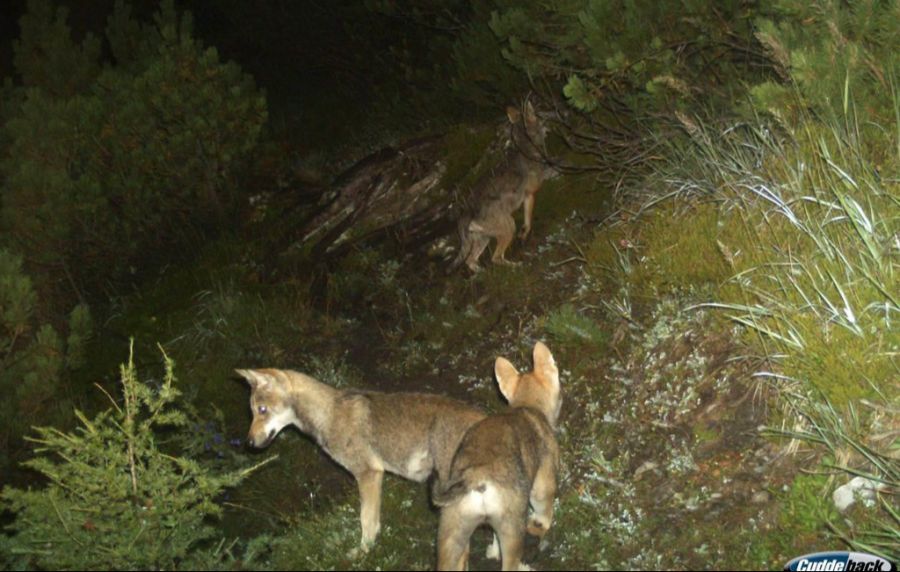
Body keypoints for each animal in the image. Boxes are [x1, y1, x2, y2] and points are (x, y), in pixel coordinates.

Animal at [235, 368, 486, 555]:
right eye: (252, 412)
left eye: (262, 410)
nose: (248, 443)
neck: (328, 414)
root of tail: (485, 418)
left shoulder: (368, 474)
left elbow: (367, 521)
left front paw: (364, 552)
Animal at [432, 342, 562, 571]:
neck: (527, 405)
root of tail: (476, 477)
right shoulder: (542, 485)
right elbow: (544, 514)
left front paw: (492, 552)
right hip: (512, 531)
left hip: (451, 536)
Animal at [450, 100, 551, 273]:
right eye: (538, 116)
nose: (548, 125)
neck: (526, 147)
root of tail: (466, 213)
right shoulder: (530, 194)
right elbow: (528, 221)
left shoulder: (527, 197)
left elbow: (527, 222)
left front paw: (523, 235)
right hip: (509, 227)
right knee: (495, 258)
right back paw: (516, 266)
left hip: (484, 239)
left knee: (470, 261)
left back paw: (481, 272)